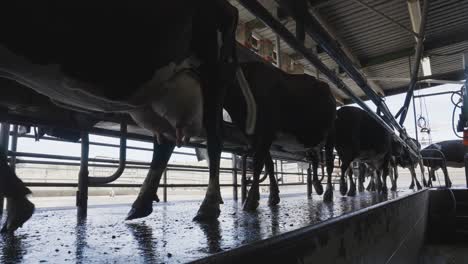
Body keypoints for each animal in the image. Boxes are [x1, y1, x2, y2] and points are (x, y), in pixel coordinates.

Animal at [0, 1, 239, 233]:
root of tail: (228, 6)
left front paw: (18, 204)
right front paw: (15, 206)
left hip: (213, 74)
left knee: (214, 138)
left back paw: (208, 206)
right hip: (157, 96)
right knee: (165, 143)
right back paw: (140, 204)